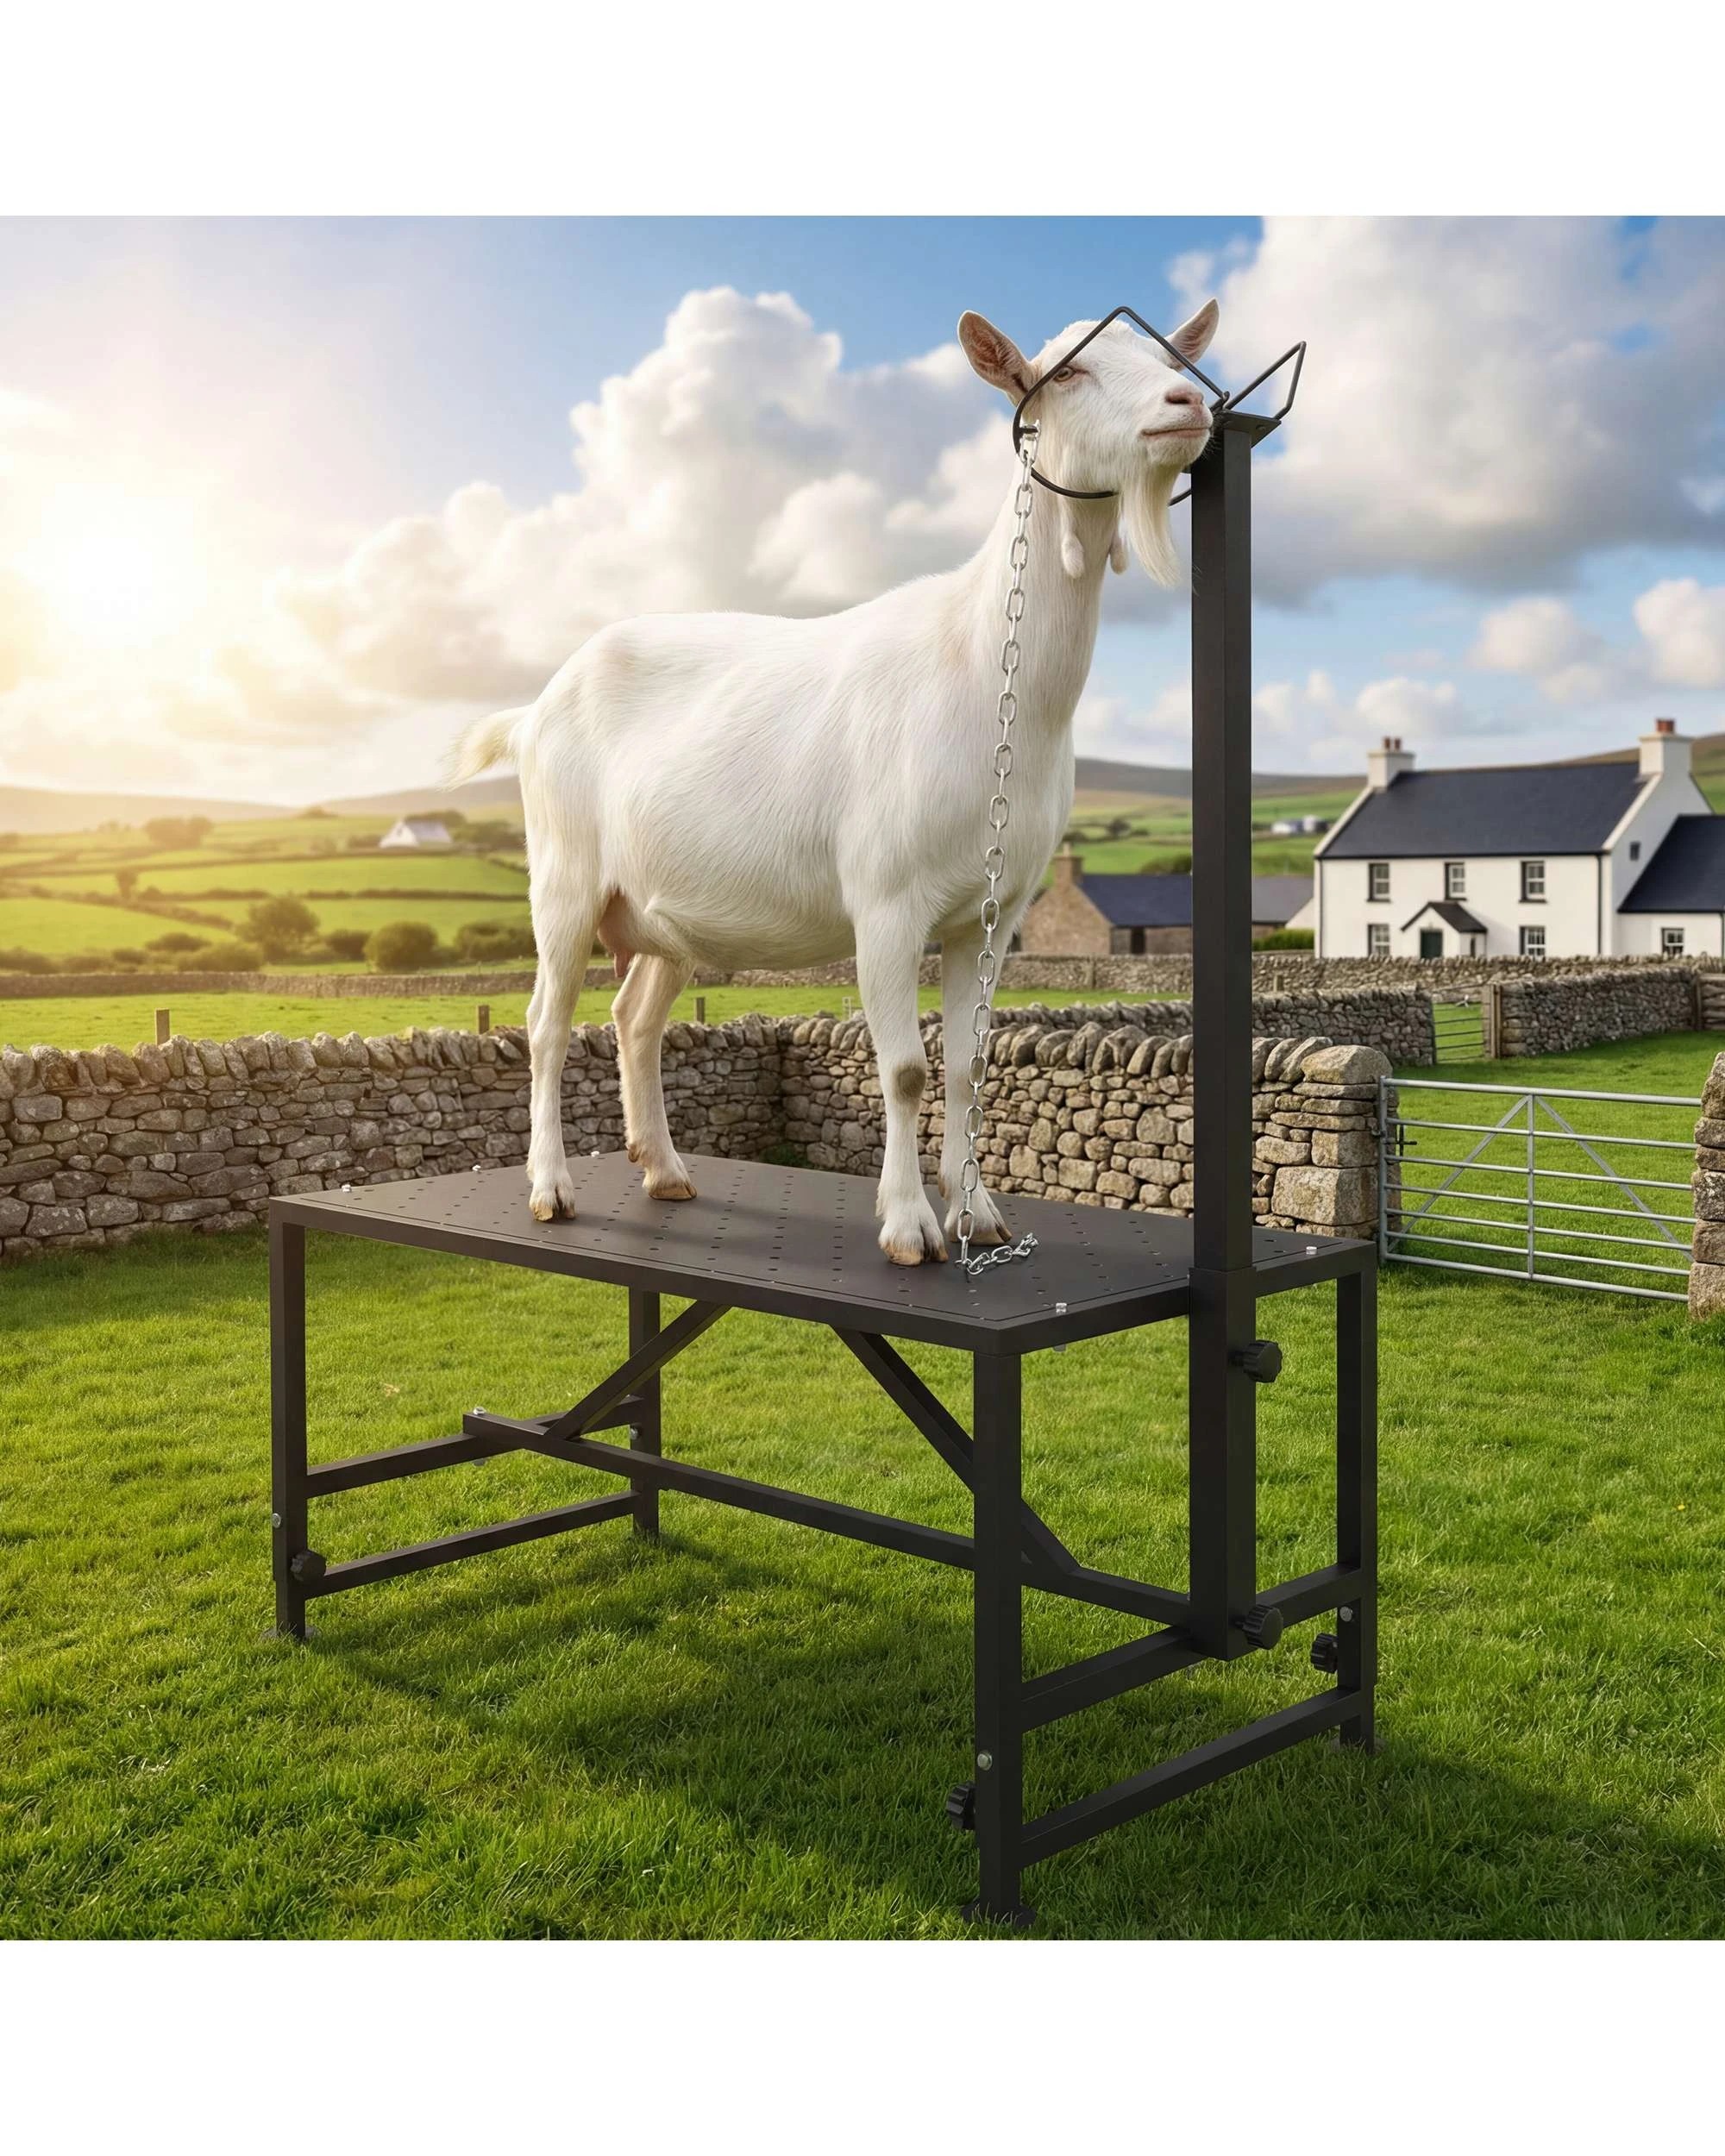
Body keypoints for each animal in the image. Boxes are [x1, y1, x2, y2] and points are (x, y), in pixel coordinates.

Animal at [453, 301, 1219, 1263]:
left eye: (1169, 359)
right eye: (1065, 372)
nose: (1187, 405)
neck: (987, 668)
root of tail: (537, 706)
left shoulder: (989, 914)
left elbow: (967, 1065)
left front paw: (977, 1214)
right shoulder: (886, 902)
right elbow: (904, 1068)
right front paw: (908, 1225)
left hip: (663, 913)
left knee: (635, 1019)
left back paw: (663, 1169)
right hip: (564, 879)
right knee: (547, 1023)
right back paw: (550, 1187)